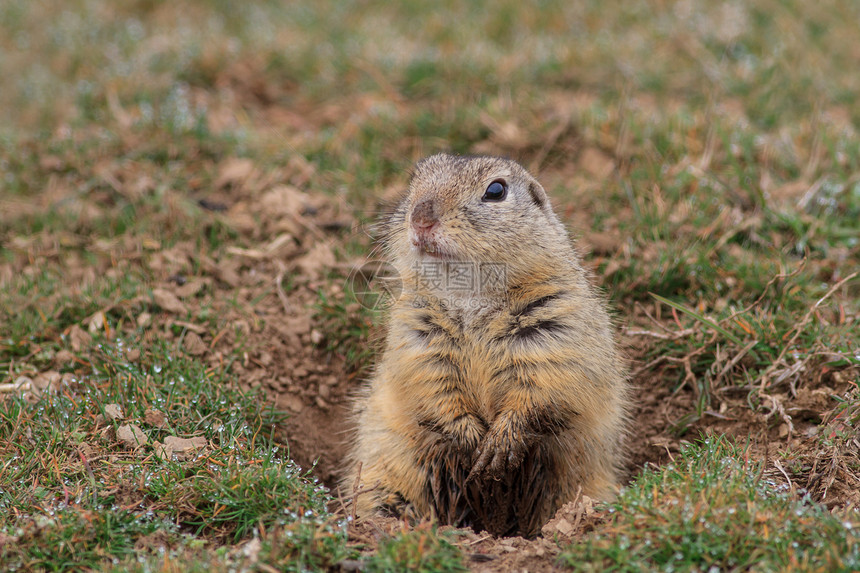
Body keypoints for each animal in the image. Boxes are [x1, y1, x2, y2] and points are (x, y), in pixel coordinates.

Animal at [344, 153, 632, 536]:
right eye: (414, 179)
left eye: (496, 190)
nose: (420, 218)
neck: (471, 296)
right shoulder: (416, 335)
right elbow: (430, 383)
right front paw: (468, 438)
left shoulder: (559, 328)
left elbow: (544, 390)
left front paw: (498, 446)